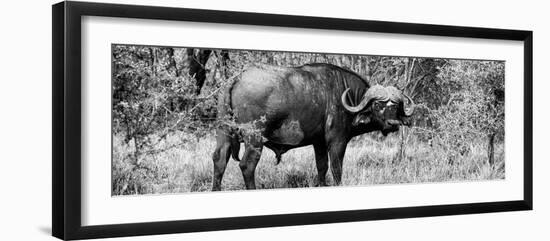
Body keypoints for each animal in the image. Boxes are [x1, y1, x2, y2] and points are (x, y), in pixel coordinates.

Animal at [211, 63, 414, 191]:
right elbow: (336, 169)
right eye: (378, 105)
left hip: (223, 133)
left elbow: (322, 167)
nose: (393, 124)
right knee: (247, 165)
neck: (348, 98)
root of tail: (236, 78)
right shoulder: (337, 141)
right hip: (254, 138)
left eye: (396, 106)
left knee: (219, 159)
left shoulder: (319, 143)